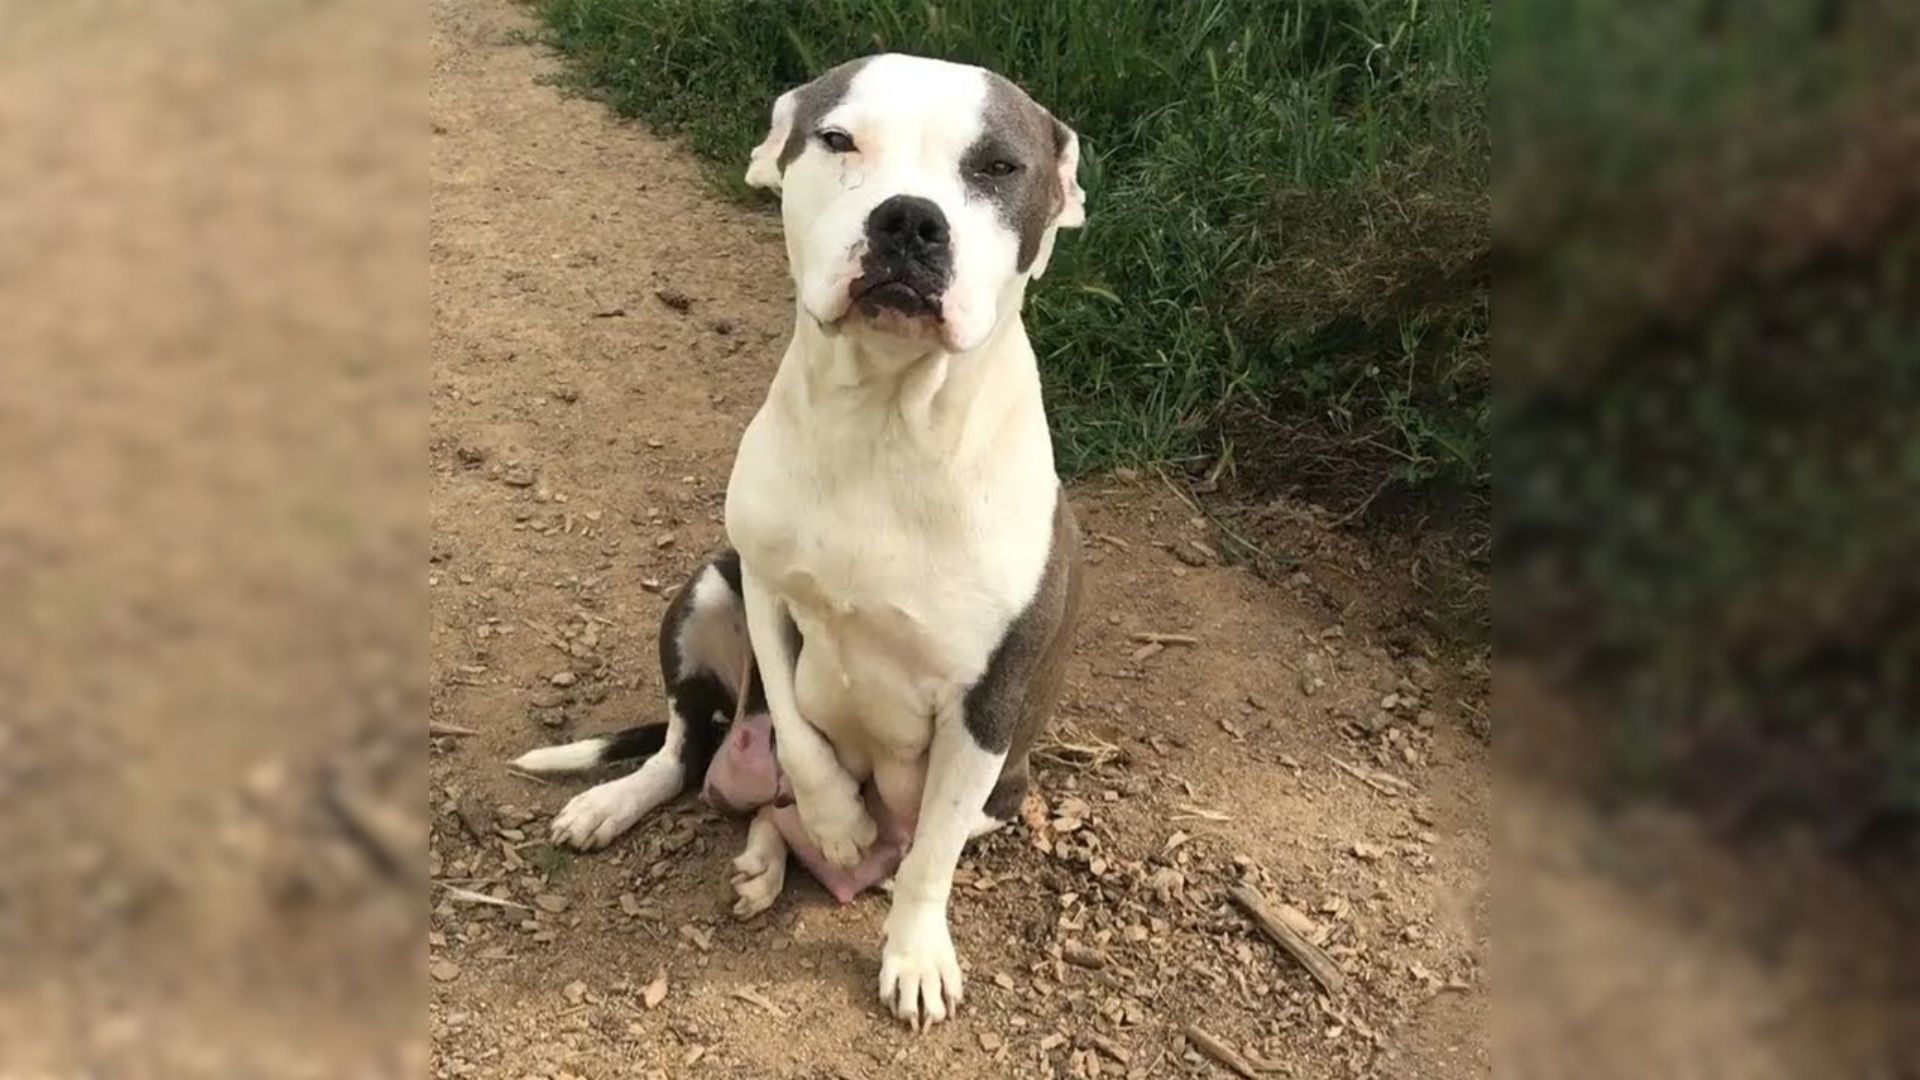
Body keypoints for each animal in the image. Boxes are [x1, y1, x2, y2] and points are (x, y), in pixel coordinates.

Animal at [514, 52, 1082, 1022]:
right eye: (838, 138)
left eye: (1000, 167)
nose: (908, 219)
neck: (887, 421)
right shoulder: (767, 592)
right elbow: (802, 735)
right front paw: (838, 819)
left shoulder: (989, 702)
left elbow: (931, 855)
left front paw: (916, 954)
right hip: (705, 592)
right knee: (692, 750)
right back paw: (643, 810)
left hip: (1004, 790)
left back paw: (774, 859)